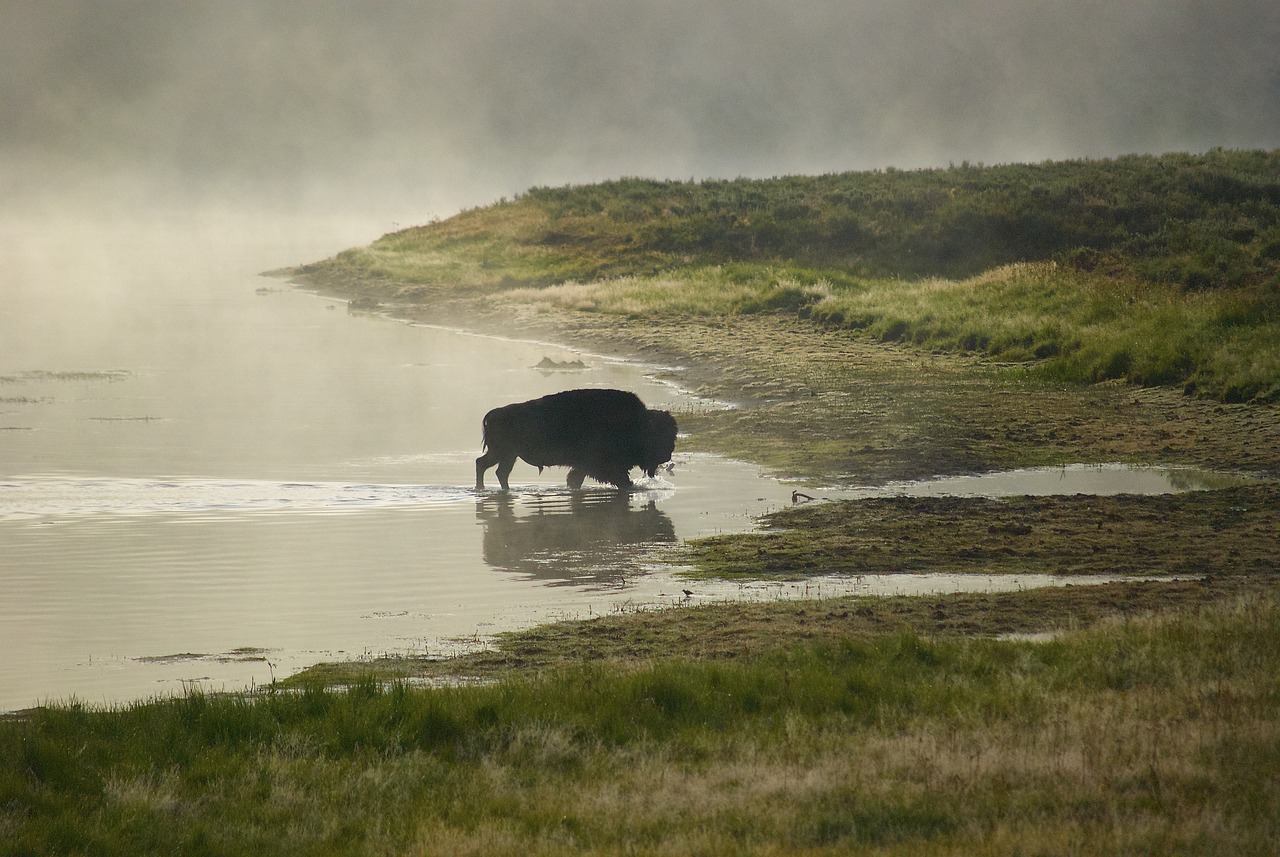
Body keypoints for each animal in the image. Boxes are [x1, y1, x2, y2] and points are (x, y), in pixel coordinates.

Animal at [476, 393, 680, 493]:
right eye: (661, 436)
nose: (667, 455)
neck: (640, 423)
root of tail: (493, 413)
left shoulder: (583, 466)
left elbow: (575, 479)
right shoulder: (602, 466)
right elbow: (620, 478)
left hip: (508, 455)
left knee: (494, 469)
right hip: (503, 453)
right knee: (486, 466)